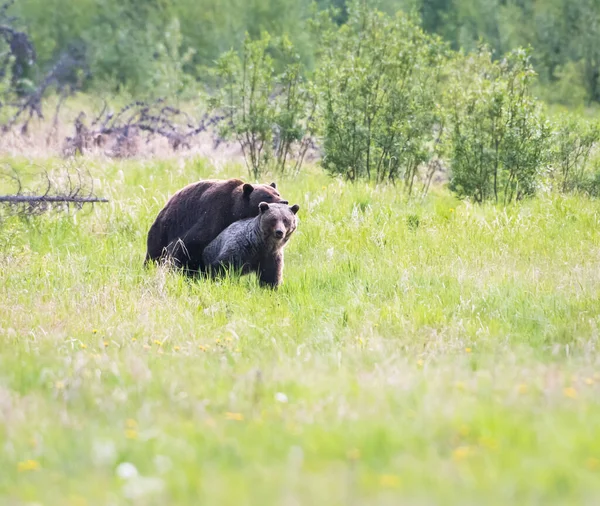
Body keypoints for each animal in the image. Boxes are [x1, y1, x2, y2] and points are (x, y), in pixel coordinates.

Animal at [144, 178, 288, 272]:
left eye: (277, 193)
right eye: (268, 196)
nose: (284, 201)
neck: (235, 209)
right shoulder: (214, 215)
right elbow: (184, 245)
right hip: (164, 228)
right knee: (154, 252)